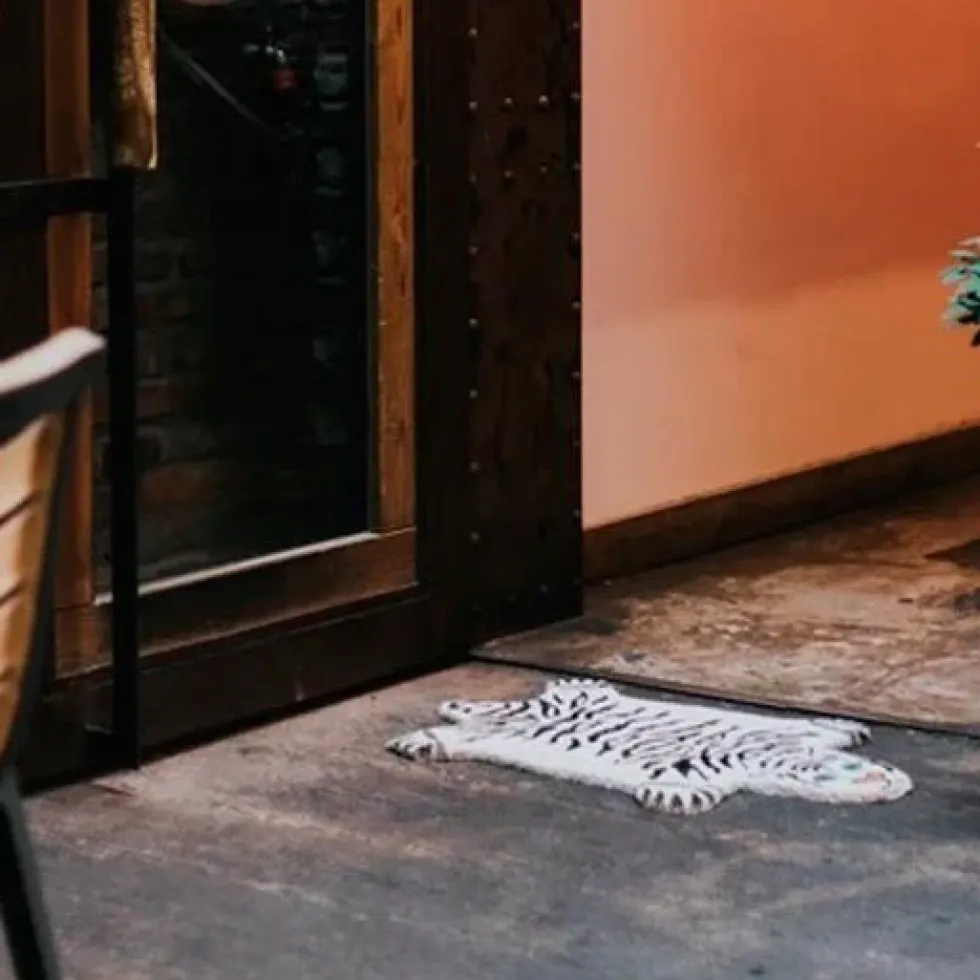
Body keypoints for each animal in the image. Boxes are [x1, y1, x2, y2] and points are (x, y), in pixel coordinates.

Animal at [386, 677, 913, 815]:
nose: (893, 781)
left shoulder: (719, 772)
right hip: (558, 704)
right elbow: (814, 730)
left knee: (476, 726)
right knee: (532, 700)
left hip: (501, 729)